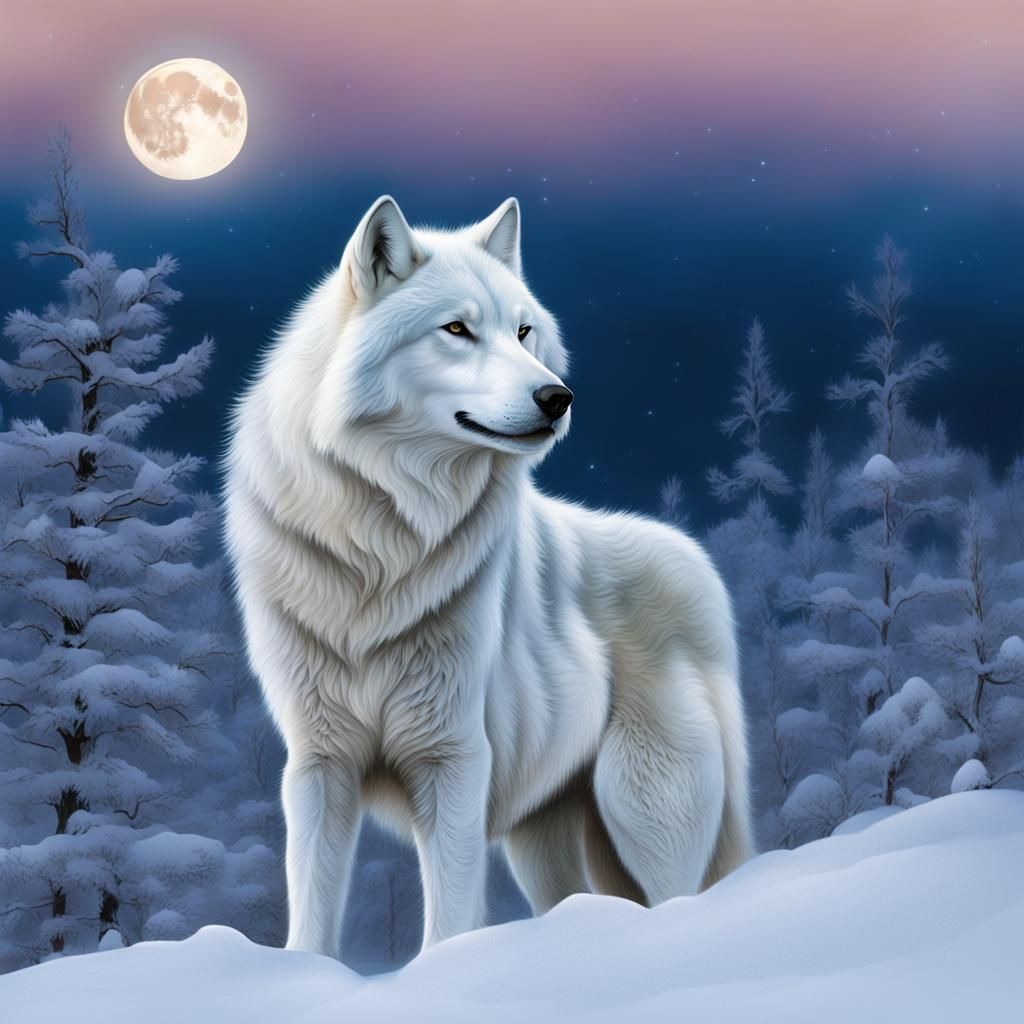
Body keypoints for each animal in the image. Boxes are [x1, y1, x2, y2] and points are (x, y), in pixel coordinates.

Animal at [224, 195, 753, 958]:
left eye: (523, 330)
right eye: (457, 329)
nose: (559, 396)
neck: (380, 547)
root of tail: (698, 564)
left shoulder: (453, 759)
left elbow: (449, 917)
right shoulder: (319, 763)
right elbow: (314, 910)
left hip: (645, 811)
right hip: (545, 841)